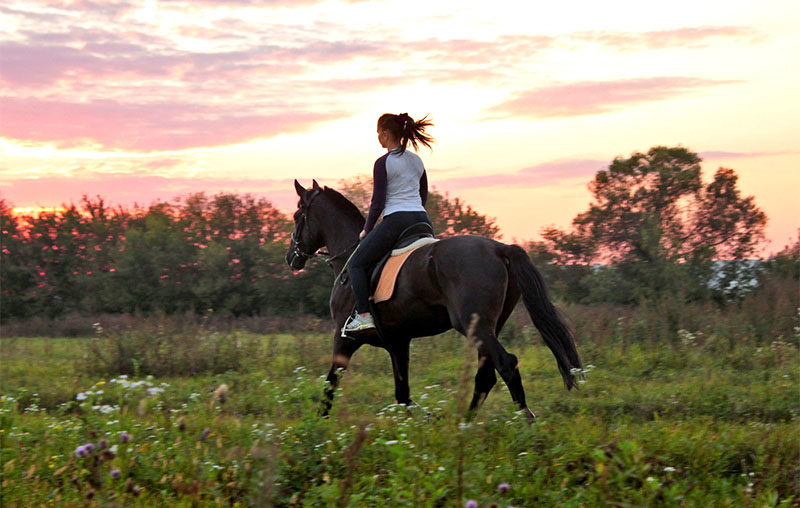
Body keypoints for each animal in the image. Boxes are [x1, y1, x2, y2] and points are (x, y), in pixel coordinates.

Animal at [286, 181, 580, 418]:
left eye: (297, 216)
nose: (291, 257)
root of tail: (500, 248)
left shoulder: (344, 339)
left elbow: (330, 386)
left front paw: (319, 429)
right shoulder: (398, 343)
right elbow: (403, 396)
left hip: (474, 327)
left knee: (505, 365)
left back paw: (524, 422)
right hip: (488, 327)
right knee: (486, 376)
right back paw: (463, 425)